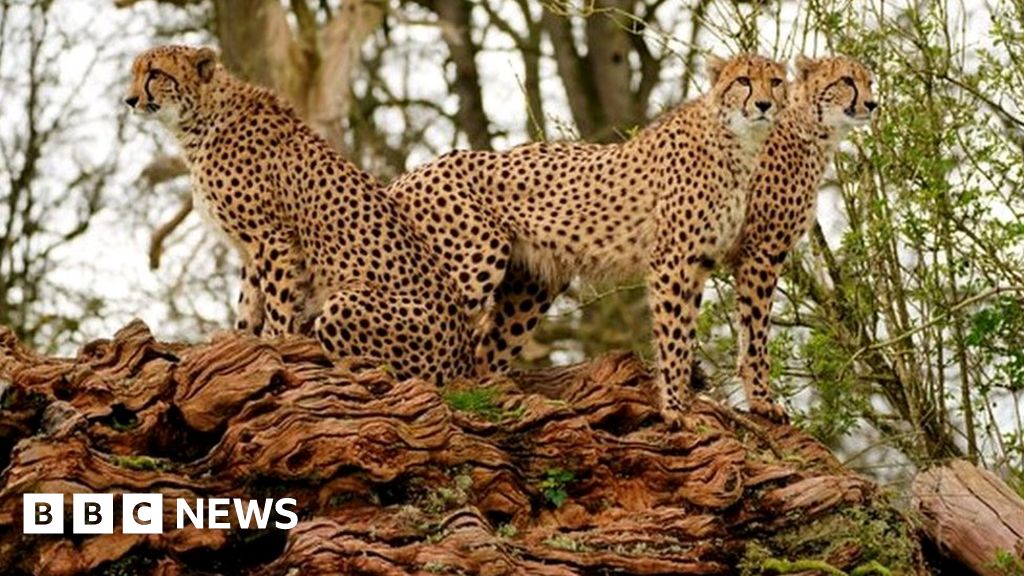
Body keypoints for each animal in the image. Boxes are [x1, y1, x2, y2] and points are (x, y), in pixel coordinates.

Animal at [122, 44, 471, 383]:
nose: (129, 100)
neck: (201, 121)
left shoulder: (271, 235)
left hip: (344, 304)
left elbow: (277, 302)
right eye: (135, 73)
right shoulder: (250, 249)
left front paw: (277, 344)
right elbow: (249, 305)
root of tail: (462, 357)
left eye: (154, 73)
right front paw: (243, 341)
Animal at [387, 54, 786, 422]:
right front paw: (674, 408)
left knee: (485, 351)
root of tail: (412, 173)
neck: (737, 142)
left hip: (530, 289)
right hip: (474, 261)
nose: (765, 105)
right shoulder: (674, 260)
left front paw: (759, 403)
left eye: (777, 82)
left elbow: (739, 332)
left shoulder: (706, 261)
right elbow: (675, 336)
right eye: (744, 81)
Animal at [733, 54, 876, 416]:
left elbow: (744, 327)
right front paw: (761, 399)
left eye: (869, 82)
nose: (872, 103)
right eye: (847, 81)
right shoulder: (762, 250)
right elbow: (756, 330)